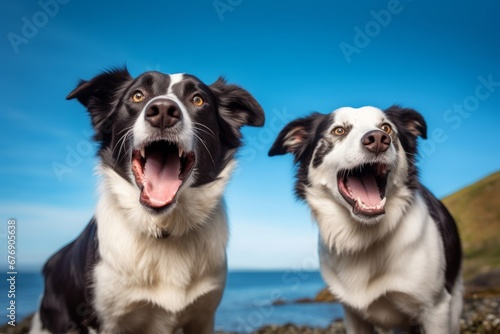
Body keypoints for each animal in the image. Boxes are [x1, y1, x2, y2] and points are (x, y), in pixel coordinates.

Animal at [30, 68, 266, 334]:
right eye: (137, 95)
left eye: (198, 99)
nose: (163, 111)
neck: (163, 229)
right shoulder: (105, 321)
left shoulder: (203, 316)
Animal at [272, 106, 462, 334]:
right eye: (339, 130)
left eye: (386, 128)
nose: (378, 139)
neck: (363, 235)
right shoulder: (353, 314)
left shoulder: (435, 308)